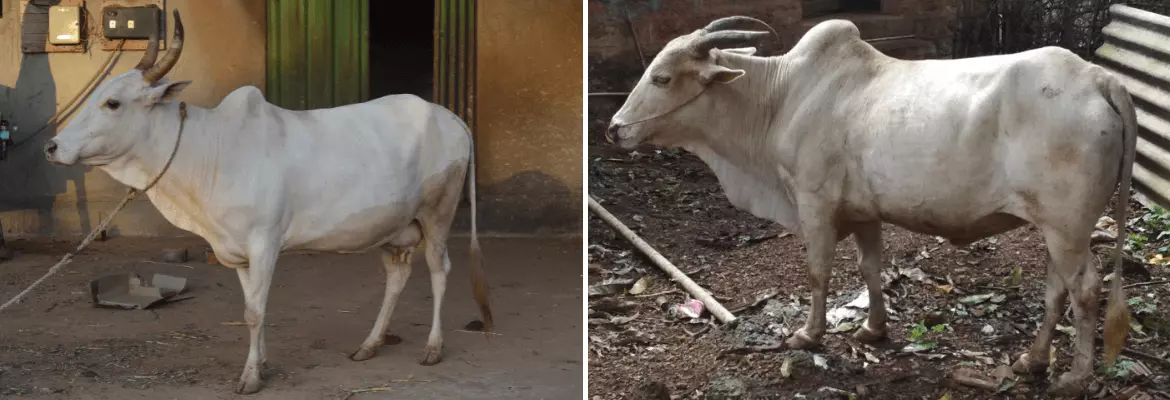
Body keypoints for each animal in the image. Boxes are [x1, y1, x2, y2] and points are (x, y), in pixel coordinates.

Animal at [43, 10, 493, 394]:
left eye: (112, 103)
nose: (52, 147)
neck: (208, 151)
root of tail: (451, 117)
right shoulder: (238, 252)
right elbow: (250, 308)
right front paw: (260, 365)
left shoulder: (264, 243)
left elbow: (255, 312)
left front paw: (250, 378)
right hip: (391, 228)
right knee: (397, 277)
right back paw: (370, 344)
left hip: (438, 214)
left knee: (439, 271)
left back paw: (432, 348)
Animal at [606, 16, 1137, 396]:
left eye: (662, 78)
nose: (614, 129)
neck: (778, 97)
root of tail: (1099, 78)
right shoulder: (864, 212)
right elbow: (869, 268)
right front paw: (873, 330)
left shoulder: (815, 203)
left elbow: (818, 273)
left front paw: (808, 335)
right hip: (1055, 228)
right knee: (1056, 291)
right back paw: (1033, 361)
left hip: (1067, 227)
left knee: (1086, 290)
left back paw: (1076, 378)